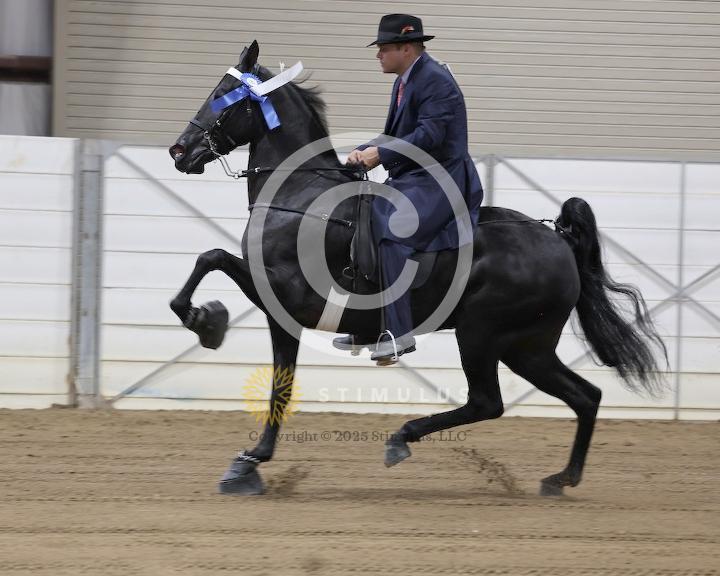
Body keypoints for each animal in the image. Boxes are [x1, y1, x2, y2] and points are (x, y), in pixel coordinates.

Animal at [168, 41, 666, 496]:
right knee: (585, 396)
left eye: (223, 94)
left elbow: (214, 264)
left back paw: (402, 437)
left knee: (488, 402)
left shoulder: (285, 295)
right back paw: (561, 478)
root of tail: (558, 239)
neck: (302, 198)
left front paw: (206, 324)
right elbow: (276, 375)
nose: (179, 151)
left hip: (483, 333)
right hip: (528, 346)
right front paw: (250, 459)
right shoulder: (281, 307)